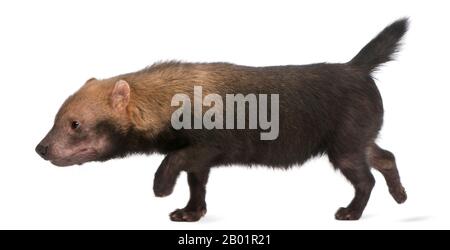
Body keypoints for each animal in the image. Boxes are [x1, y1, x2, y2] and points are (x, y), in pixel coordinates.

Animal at [36, 20, 408, 223]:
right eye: (56, 115)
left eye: (75, 123)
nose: (40, 148)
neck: (175, 97)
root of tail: (356, 67)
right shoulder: (199, 159)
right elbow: (196, 185)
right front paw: (188, 213)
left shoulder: (209, 145)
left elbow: (173, 162)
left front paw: (161, 188)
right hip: (358, 141)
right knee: (386, 158)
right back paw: (401, 196)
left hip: (344, 149)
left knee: (366, 180)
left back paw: (351, 213)